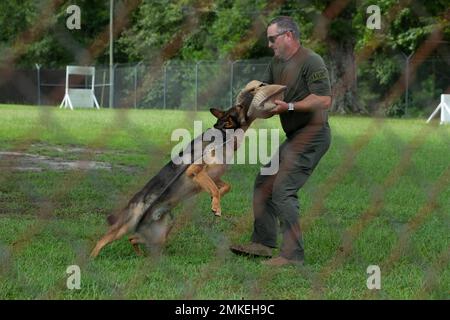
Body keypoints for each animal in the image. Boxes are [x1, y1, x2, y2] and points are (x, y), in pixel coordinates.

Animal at [89, 97, 255, 258]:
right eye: (238, 107)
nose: (245, 101)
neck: (225, 134)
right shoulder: (196, 171)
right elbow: (214, 188)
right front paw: (216, 206)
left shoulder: (212, 176)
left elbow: (226, 187)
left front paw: (216, 201)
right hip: (127, 225)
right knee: (102, 240)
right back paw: (91, 259)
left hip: (160, 234)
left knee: (132, 239)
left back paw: (140, 255)